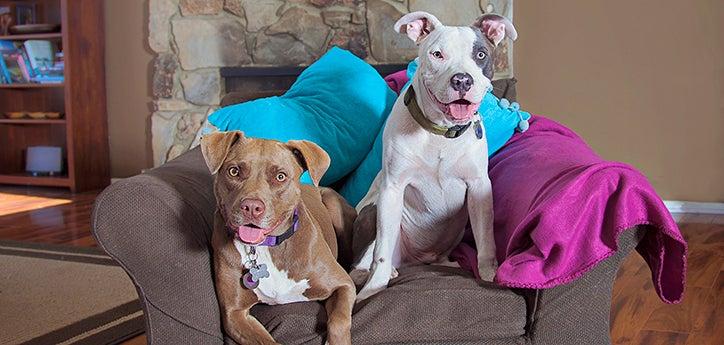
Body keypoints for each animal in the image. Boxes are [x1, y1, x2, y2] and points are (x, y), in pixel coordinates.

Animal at [199, 131, 358, 344]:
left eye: (280, 176)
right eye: (234, 171)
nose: (251, 207)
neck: (265, 248)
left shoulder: (342, 285)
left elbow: (339, 320)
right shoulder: (234, 314)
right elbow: (266, 341)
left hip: (334, 206)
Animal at [354, 11, 516, 300]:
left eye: (481, 54)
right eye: (437, 54)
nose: (462, 80)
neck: (441, 133)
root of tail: (419, 259)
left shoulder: (479, 188)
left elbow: (486, 240)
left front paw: (489, 276)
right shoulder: (392, 189)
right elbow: (381, 251)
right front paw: (373, 288)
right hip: (372, 214)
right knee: (362, 263)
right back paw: (381, 273)